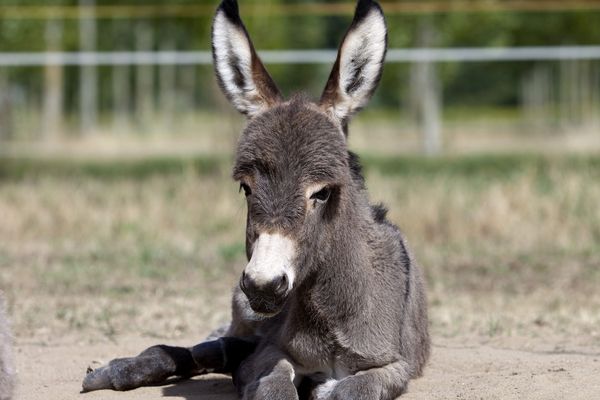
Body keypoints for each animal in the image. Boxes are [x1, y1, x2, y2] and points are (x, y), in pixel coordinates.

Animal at [82, 1, 428, 398]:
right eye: (246, 188)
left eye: (322, 192)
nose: (263, 284)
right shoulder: (270, 352)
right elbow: (272, 386)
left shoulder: (393, 365)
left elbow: (354, 388)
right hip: (245, 316)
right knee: (212, 346)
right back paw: (119, 370)